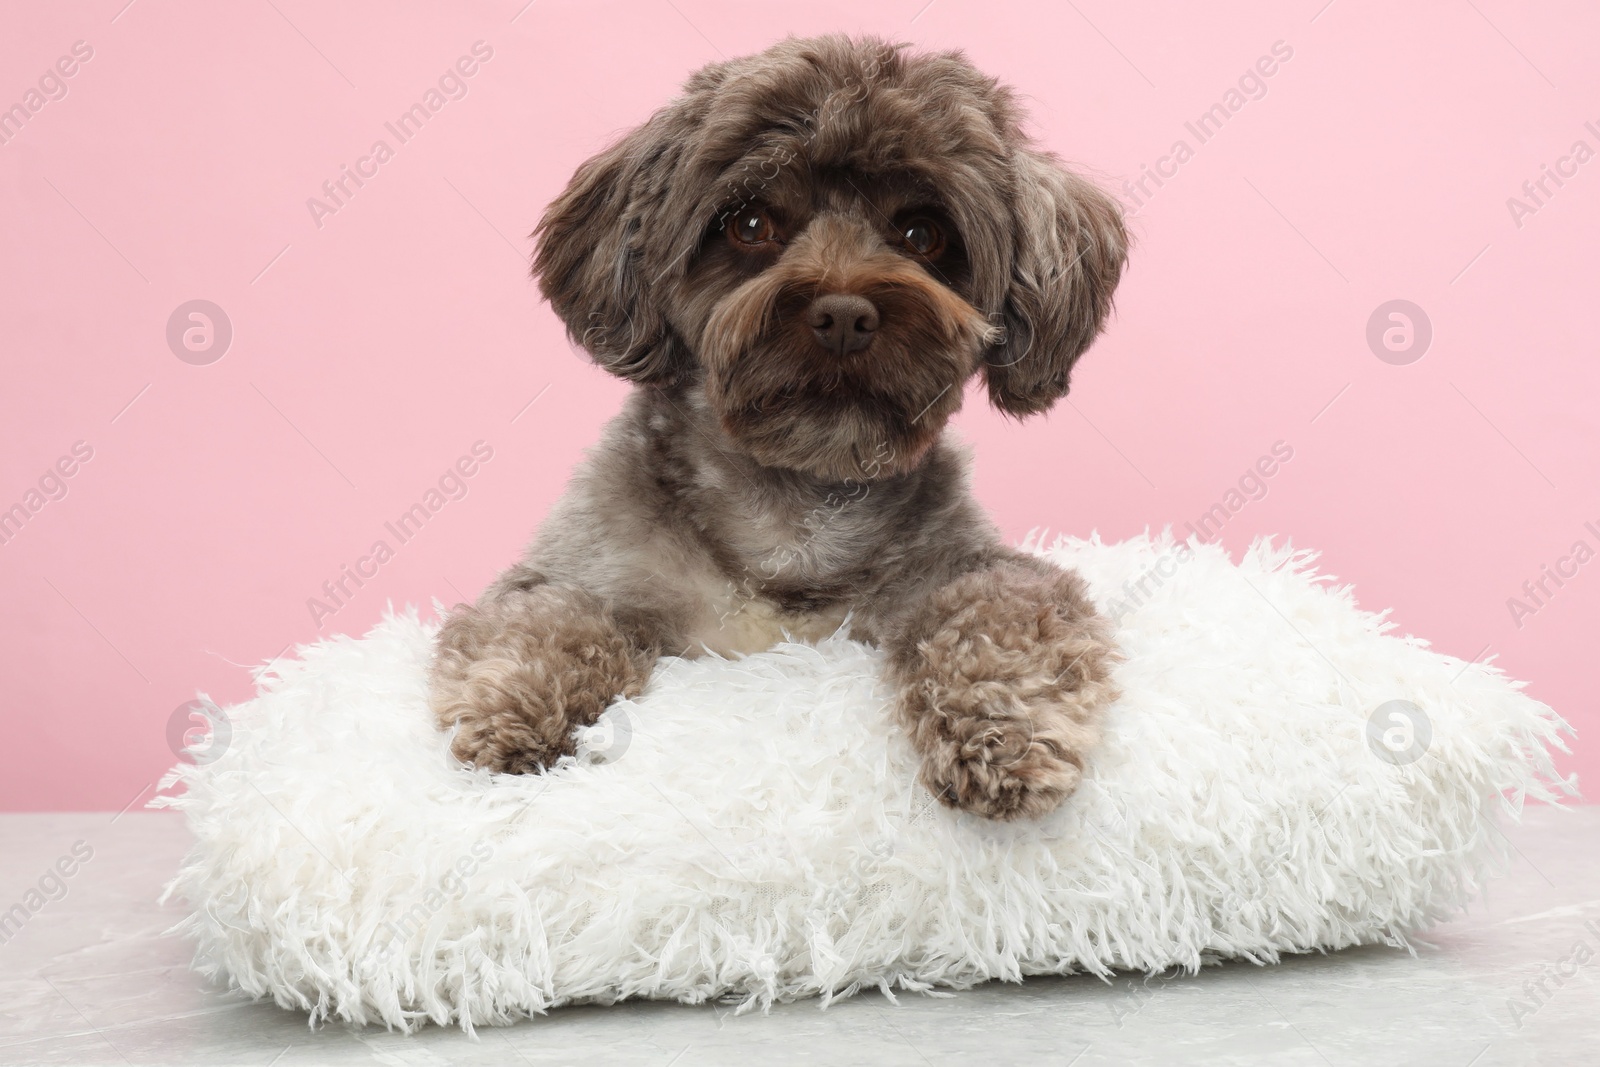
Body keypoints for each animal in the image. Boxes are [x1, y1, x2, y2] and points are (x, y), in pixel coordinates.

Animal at [425, 31, 1126, 819]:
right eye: (750, 223)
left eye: (922, 232)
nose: (845, 314)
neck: (795, 514)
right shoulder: (582, 567)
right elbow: (547, 614)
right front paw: (514, 703)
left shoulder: (967, 567)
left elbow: (999, 613)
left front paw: (1002, 723)